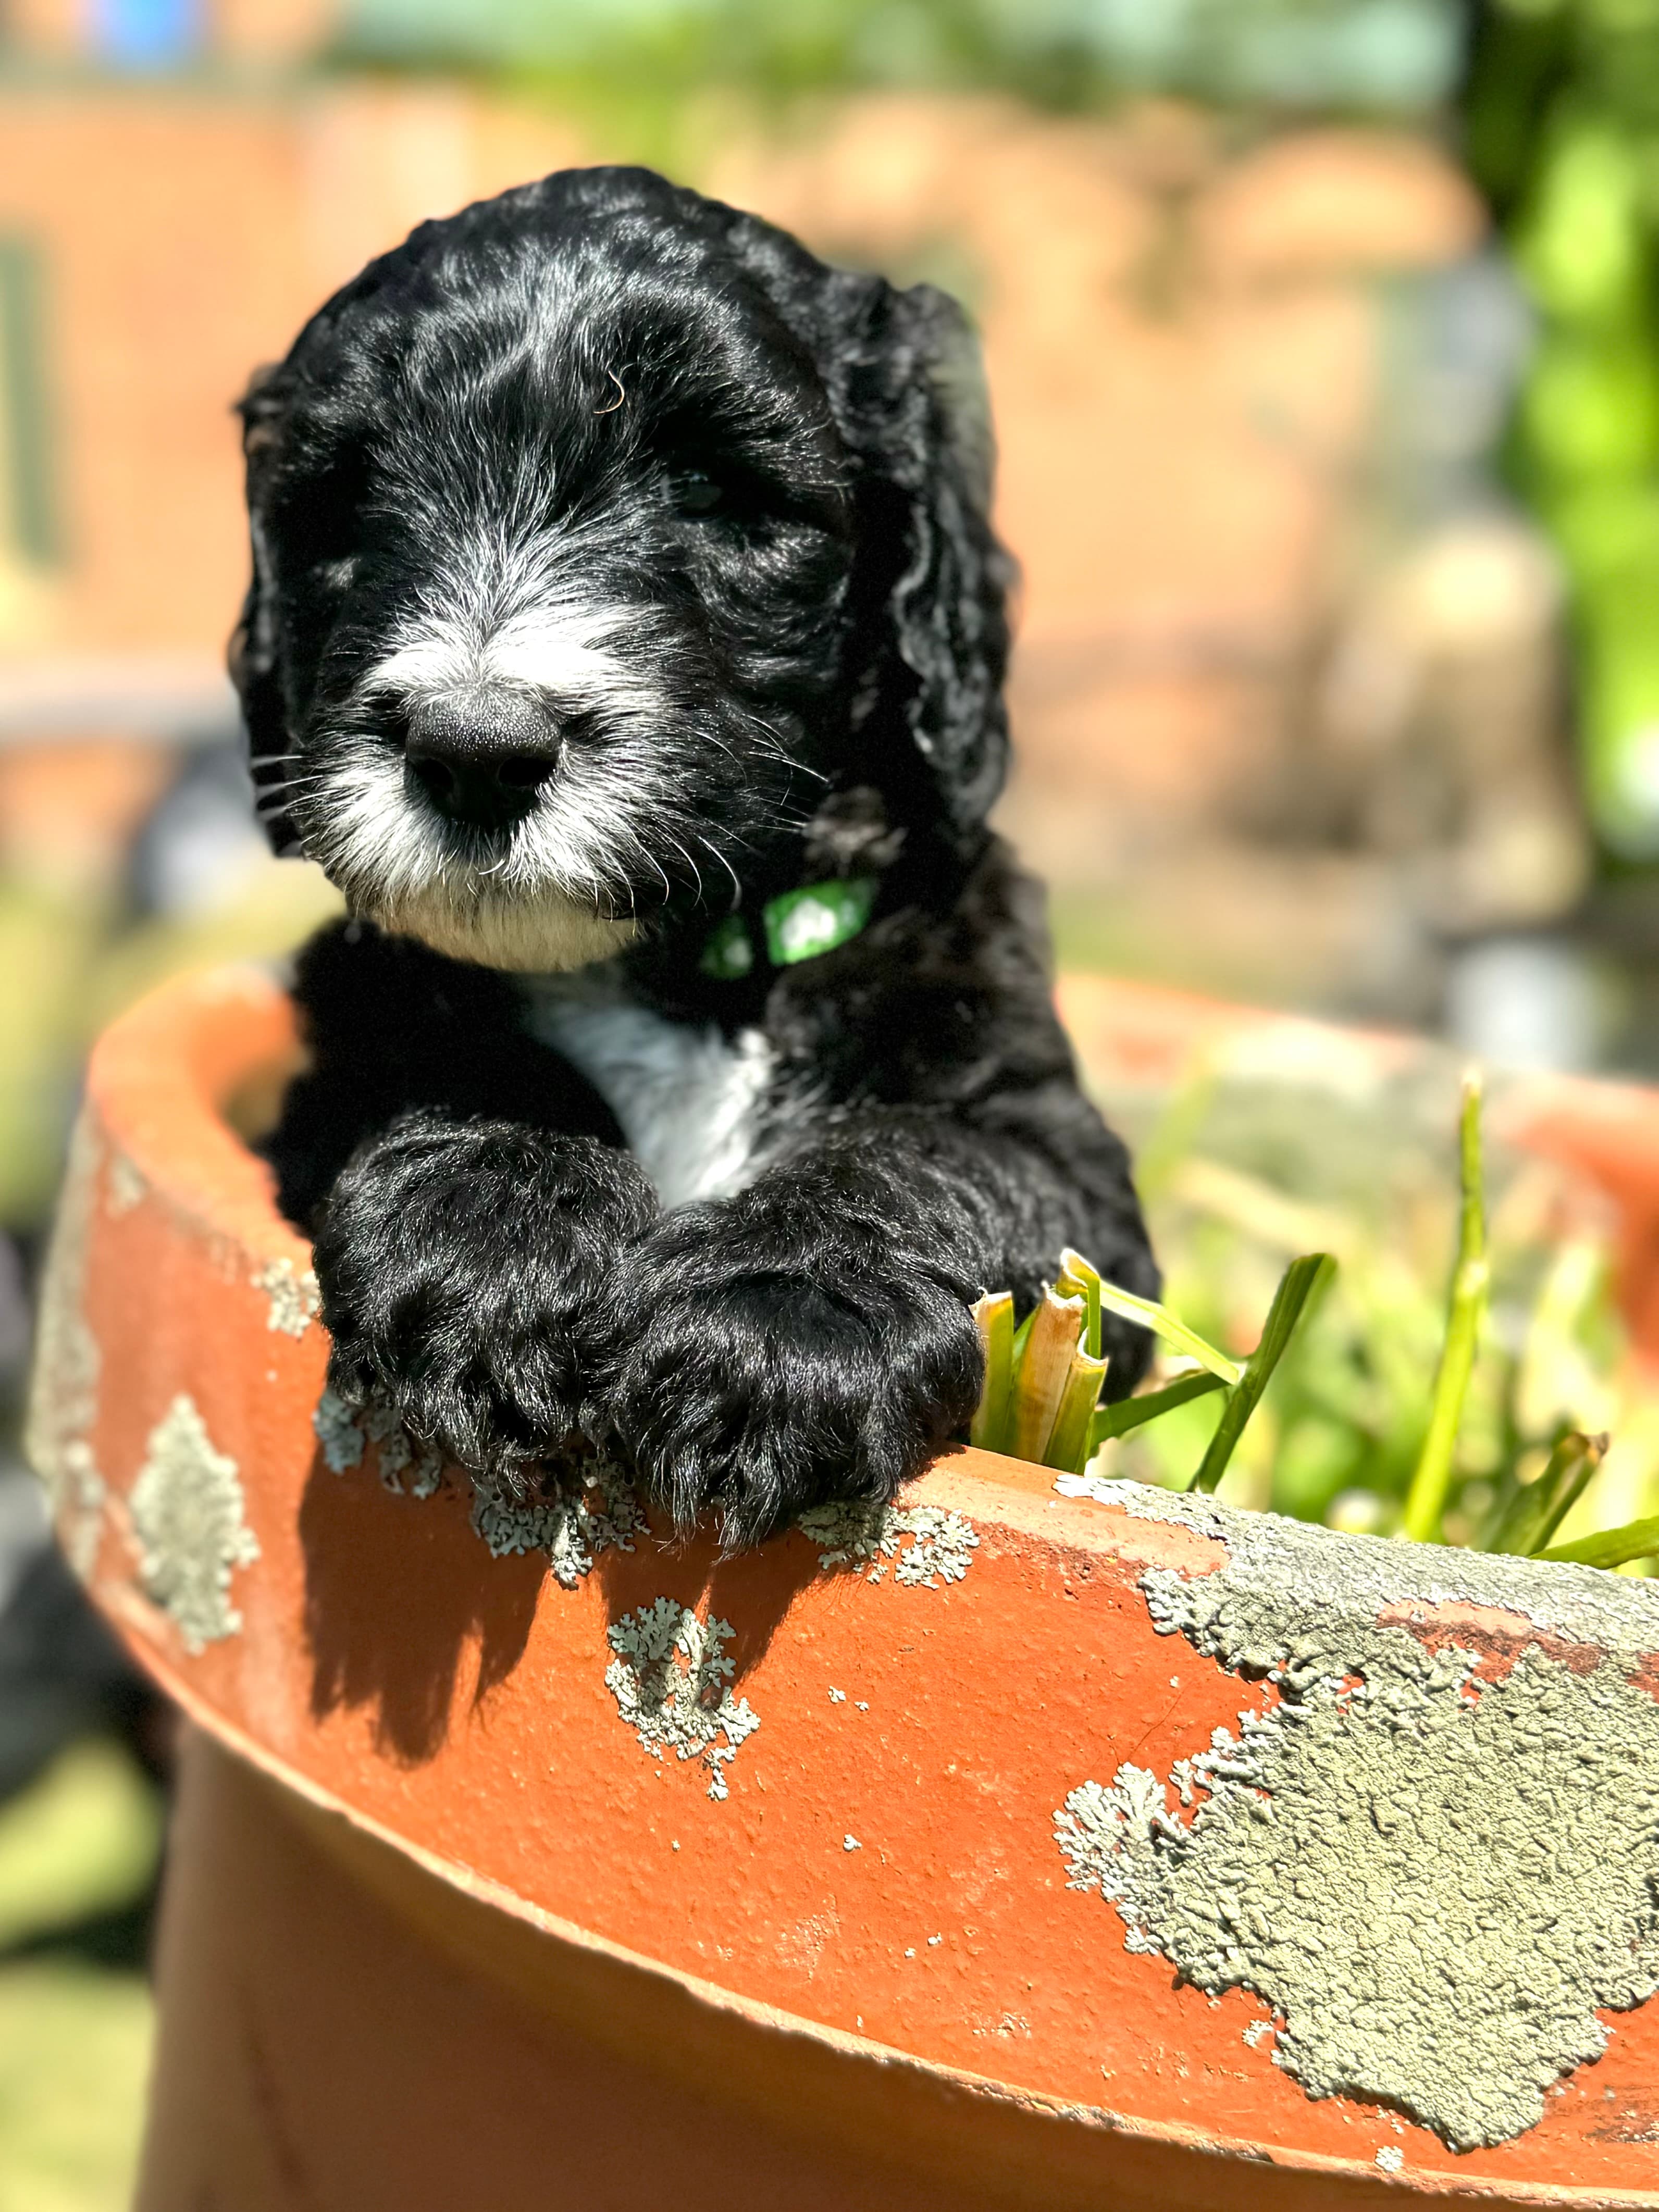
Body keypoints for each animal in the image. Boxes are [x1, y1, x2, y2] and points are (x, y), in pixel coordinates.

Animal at [237, 164, 1159, 1548]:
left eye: (723, 494)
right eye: (343, 501)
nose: (475, 747)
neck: (679, 975)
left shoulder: (1058, 1154)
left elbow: (925, 1155)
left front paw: (775, 1319)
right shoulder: (333, 1048)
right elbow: (450, 1055)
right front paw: (497, 1232)